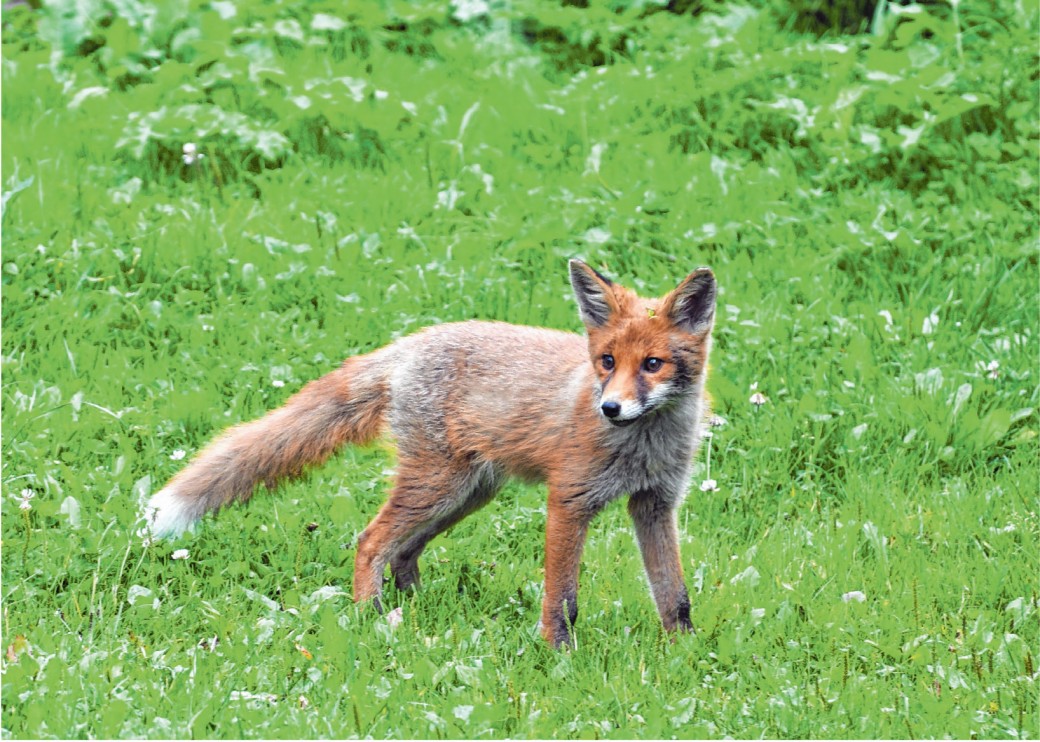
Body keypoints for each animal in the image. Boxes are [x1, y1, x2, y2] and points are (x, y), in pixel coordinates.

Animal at [146, 259, 715, 641]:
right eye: (607, 361)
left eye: (653, 365)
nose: (611, 409)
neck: (642, 446)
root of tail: (409, 343)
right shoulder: (569, 501)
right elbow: (562, 600)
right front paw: (558, 655)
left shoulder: (654, 504)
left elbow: (676, 597)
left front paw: (683, 654)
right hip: (438, 486)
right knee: (370, 542)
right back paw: (371, 618)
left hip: (466, 493)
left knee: (403, 550)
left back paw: (418, 608)